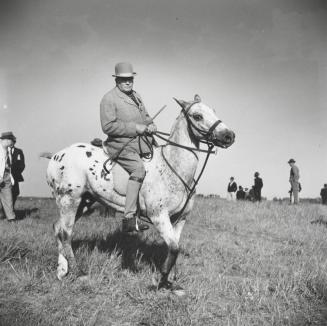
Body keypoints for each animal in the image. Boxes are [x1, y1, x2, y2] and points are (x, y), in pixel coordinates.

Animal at [43, 95, 234, 296]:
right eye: (197, 116)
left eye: (214, 111)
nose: (229, 136)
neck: (173, 167)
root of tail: (56, 155)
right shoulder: (158, 216)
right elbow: (174, 248)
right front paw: (161, 281)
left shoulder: (180, 219)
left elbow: (175, 247)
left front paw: (172, 282)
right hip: (69, 199)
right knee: (65, 233)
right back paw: (79, 273)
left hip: (85, 202)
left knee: (59, 228)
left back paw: (62, 271)